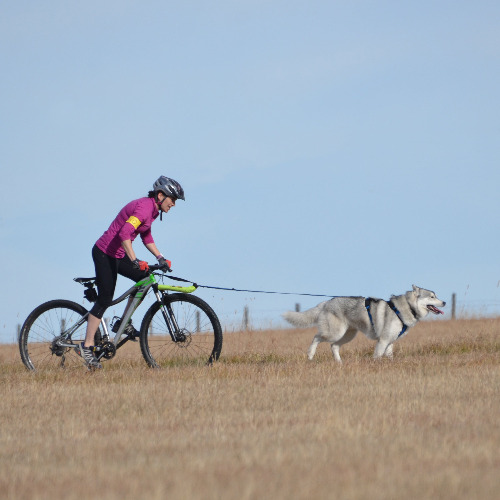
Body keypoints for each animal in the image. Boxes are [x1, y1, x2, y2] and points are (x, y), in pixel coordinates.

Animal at [282, 286, 446, 364]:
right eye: (432, 297)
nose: (444, 302)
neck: (404, 308)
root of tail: (326, 302)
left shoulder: (390, 342)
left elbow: (390, 356)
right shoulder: (383, 341)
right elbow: (377, 356)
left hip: (348, 335)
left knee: (334, 346)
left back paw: (339, 363)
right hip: (334, 333)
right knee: (316, 337)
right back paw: (310, 355)